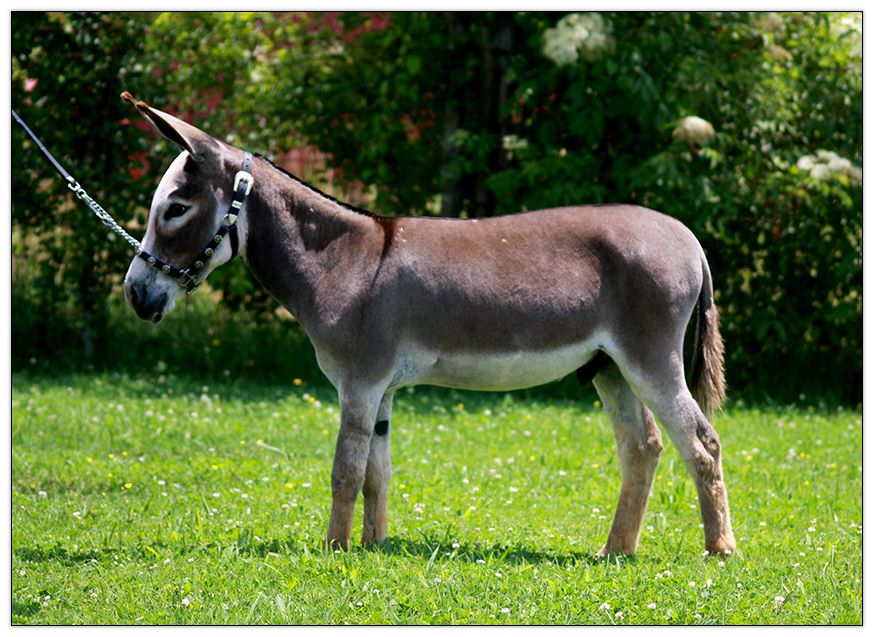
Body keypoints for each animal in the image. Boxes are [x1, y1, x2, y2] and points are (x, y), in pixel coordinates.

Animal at [121, 92, 736, 557]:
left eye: (176, 207)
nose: (135, 295)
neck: (342, 259)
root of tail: (688, 238)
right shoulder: (383, 390)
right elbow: (377, 471)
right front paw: (373, 546)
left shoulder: (360, 383)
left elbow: (345, 470)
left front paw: (333, 550)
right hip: (608, 366)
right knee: (643, 447)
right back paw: (616, 551)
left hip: (648, 357)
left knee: (701, 442)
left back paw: (719, 550)